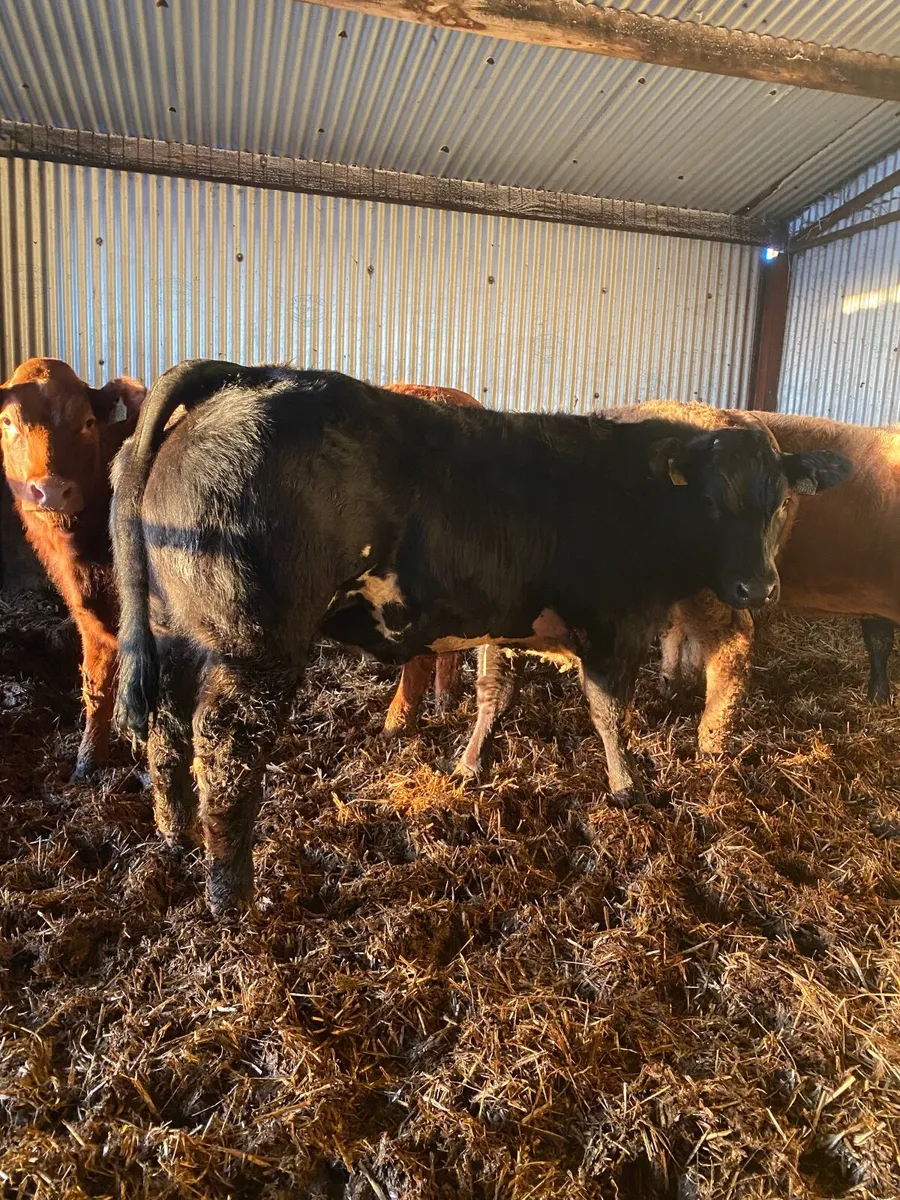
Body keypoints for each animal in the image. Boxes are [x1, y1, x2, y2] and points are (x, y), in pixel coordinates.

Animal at [0, 357, 146, 778]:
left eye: (88, 422)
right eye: (8, 422)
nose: (51, 490)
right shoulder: (86, 613)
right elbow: (95, 684)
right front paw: (88, 761)